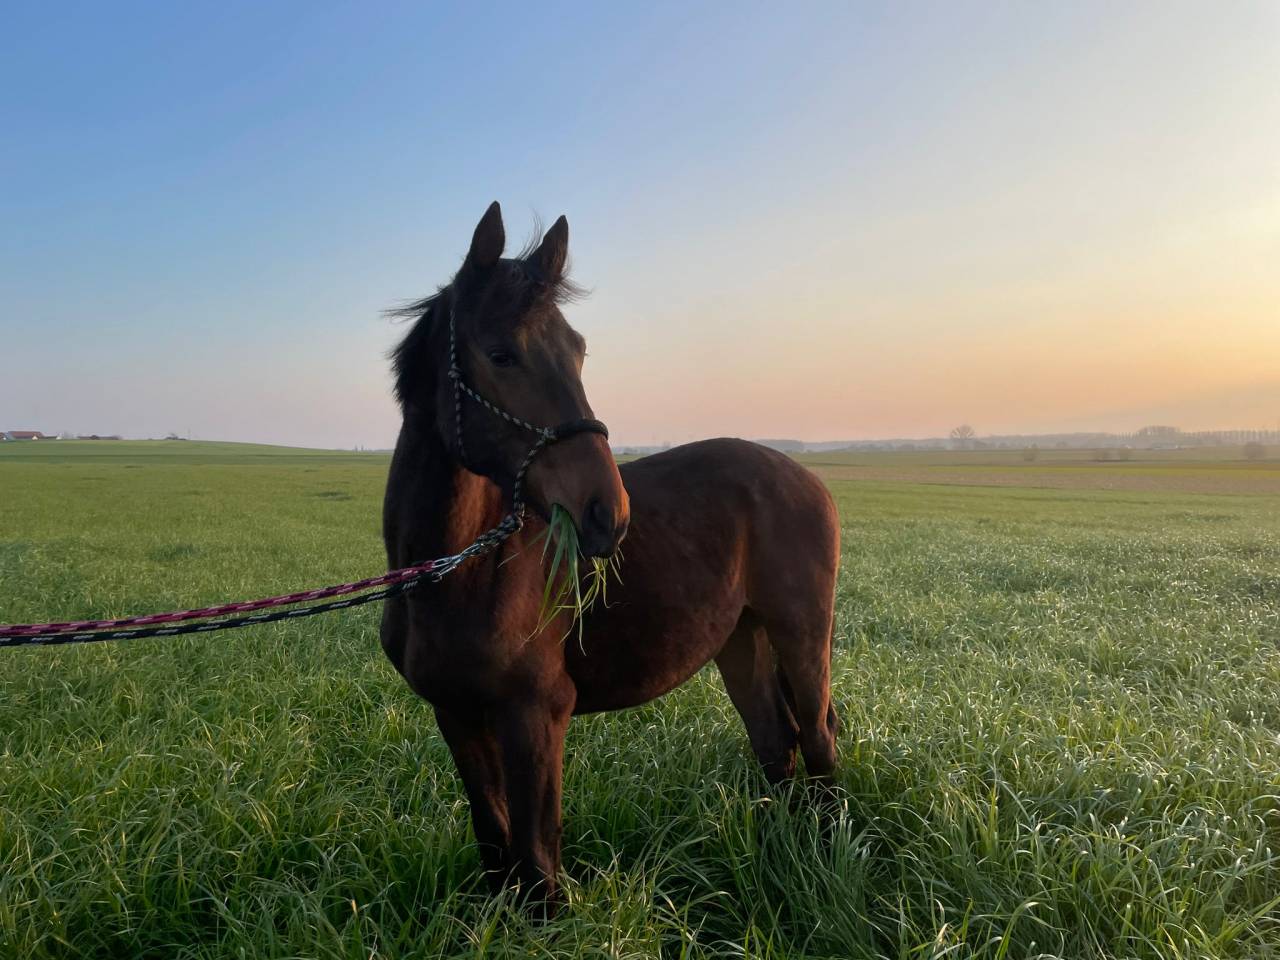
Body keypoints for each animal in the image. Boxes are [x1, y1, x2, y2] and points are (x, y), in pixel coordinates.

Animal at [380, 202, 841, 913]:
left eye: (577, 350)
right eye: (500, 354)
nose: (608, 511)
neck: (457, 577)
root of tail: (804, 478)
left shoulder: (537, 713)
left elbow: (538, 862)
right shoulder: (455, 714)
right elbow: (496, 844)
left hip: (801, 630)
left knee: (817, 740)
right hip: (741, 638)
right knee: (775, 742)